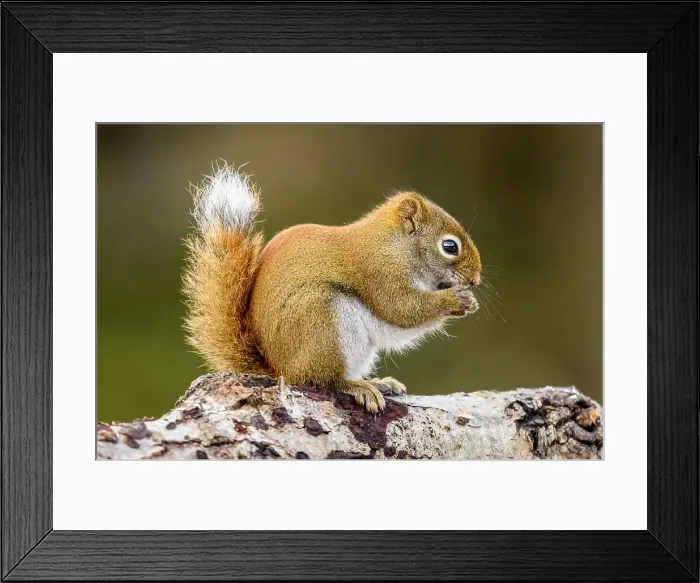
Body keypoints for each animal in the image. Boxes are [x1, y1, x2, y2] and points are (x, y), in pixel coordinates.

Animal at [182, 163, 482, 413]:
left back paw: (380, 383)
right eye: (450, 246)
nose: (476, 280)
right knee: (322, 381)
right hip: (321, 320)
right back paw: (356, 386)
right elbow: (402, 310)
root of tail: (278, 369)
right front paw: (456, 300)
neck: (394, 246)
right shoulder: (380, 273)